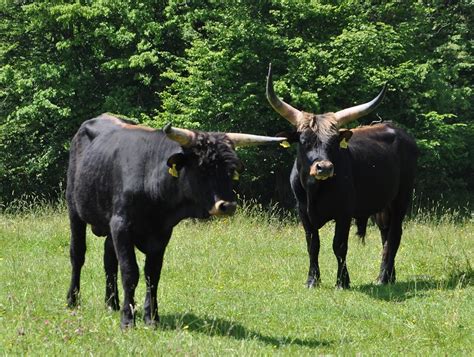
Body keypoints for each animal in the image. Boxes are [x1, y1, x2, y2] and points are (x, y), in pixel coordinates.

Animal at [66, 112, 286, 326]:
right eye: (203, 167)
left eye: (231, 170)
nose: (227, 205)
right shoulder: (122, 225)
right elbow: (130, 272)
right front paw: (128, 319)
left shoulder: (161, 233)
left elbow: (152, 274)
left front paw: (151, 318)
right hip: (74, 210)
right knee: (78, 254)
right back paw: (73, 300)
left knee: (109, 259)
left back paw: (112, 303)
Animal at [266, 63, 418, 286]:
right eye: (304, 141)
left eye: (333, 142)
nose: (324, 167)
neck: (315, 190)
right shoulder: (303, 213)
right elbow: (313, 245)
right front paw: (312, 280)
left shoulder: (344, 213)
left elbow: (339, 245)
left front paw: (342, 281)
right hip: (383, 205)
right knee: (386, 234)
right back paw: (388, 276)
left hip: (401, 198)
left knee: (394, 235)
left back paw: (383, 277)